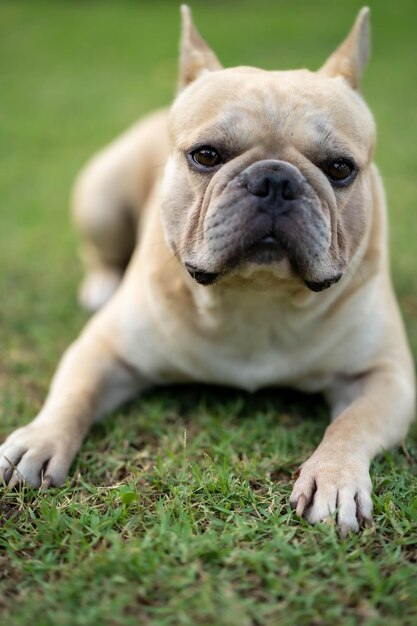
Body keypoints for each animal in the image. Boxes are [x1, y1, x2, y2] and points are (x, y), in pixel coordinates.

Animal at [1, 4, 414, 532]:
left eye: (340, 168)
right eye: (206, 155)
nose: (275, 180)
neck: (255, 298)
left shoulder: (385, 378)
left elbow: (351, 424)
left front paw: (334, 477)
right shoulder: (103, 350)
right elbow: (72, 394)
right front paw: (39, 439)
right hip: (101, 203)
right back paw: (100, 285)